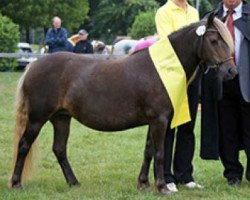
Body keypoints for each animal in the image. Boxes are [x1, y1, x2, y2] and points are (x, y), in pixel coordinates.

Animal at [9, 13, 236, 195]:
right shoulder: (159, 121)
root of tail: (34, 65)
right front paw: (162, 187)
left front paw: (143, 184)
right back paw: (16, 183)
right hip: (37, 119)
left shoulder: (153, 122)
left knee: (59, 149)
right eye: (214, 40)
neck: (161, 70)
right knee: (24, 145)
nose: (231, 71)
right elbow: (160, 153)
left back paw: (73, 182)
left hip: (61, 119)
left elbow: (148, 152)